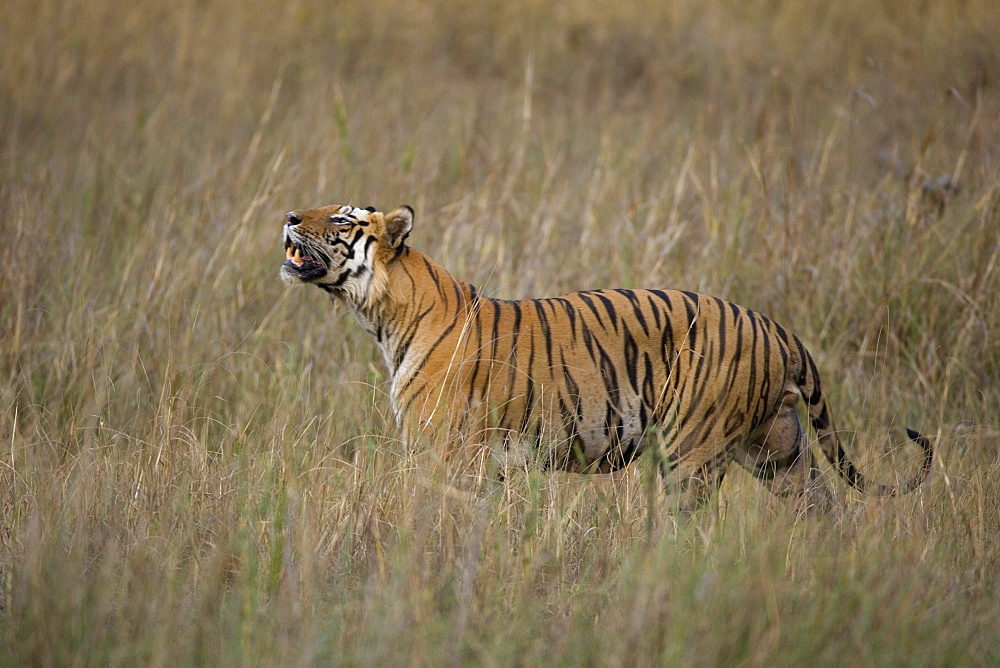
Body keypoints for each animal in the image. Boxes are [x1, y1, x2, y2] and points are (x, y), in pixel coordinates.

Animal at [278, 202, 932, 506]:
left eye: (340, 219)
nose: (287, 216)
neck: (385, 317)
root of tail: (774, 327)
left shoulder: (447, 456)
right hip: (780, 449)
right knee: (826, 506)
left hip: (692, 453)